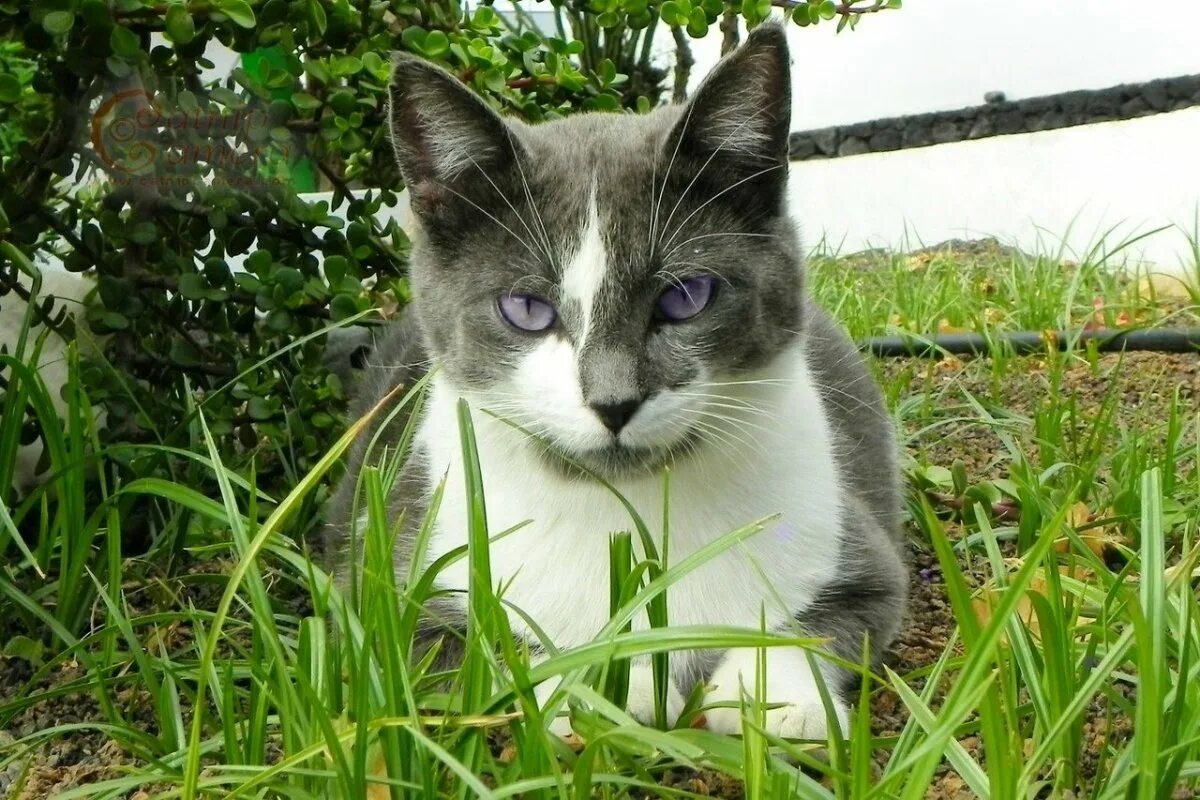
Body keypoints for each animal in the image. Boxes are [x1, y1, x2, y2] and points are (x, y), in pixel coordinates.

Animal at [324, 23, 902, 738]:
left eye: (686, 296)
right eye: (526, 309)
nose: (614, 401)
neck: (624, 514)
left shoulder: (863, 554)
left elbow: (828, 622)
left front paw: (775, 698)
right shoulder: (385, 588)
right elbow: (464, 654)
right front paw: (603, 686)